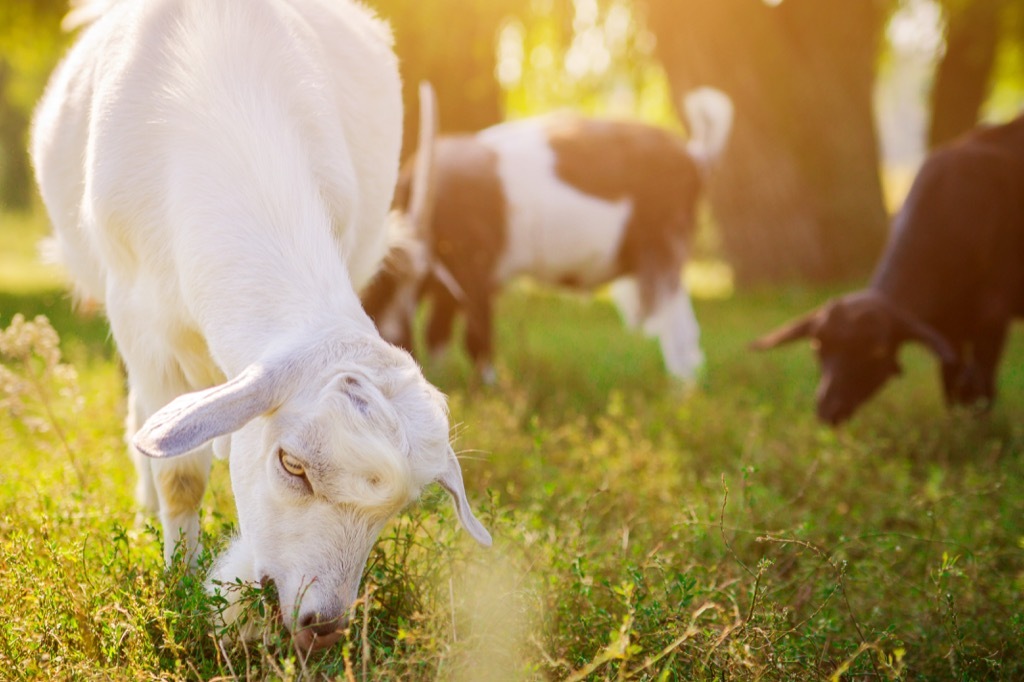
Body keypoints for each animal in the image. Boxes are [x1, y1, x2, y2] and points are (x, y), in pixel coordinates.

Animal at [30, 0, 491, 651]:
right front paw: (180, 586)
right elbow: (179, 477)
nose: (323, 625)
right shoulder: (141, 319)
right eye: (291, 465)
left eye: (396, 510)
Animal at [364, 91, 733, 382]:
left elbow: (477, 337)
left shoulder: (476, 271)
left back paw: (681, 395)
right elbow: (438, 334)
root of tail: (695, 155)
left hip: (665, 248)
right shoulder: (450, 287)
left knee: (680, 330)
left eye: (385, 281)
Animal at [753, 115, 1024, 425]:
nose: (829, 409)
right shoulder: (947, 329)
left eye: (877, 349)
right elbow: (953, 385)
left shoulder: (993, 316)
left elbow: (981, 388)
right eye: (818, 345)